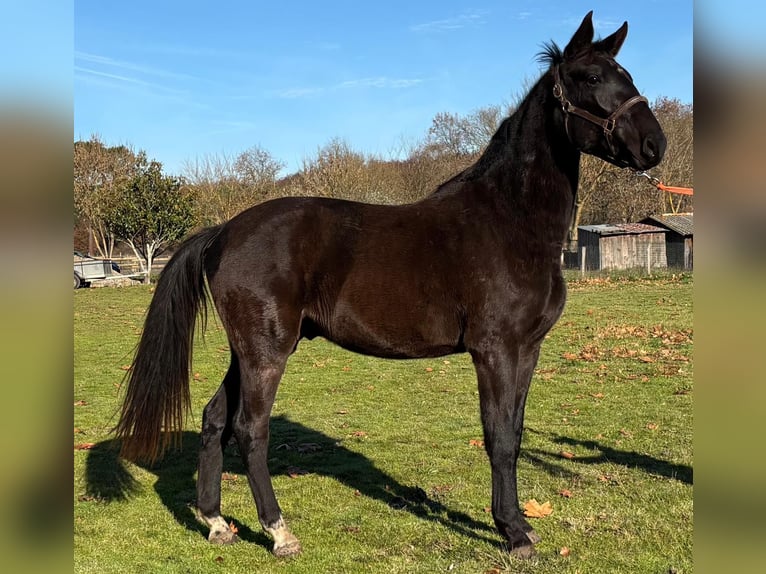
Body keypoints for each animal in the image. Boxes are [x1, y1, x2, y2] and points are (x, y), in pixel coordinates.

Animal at [115, 11, 666, 558]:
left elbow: (515, 430)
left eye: (627, 74)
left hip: (247, 351)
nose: (654, 145)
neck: (510, 219)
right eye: (591, 77)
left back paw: (215, 522)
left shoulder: (527, 349)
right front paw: (512, 531)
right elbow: (499, 438)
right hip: (265, 352)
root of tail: (224, 231)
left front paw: (519, 525)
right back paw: (278, 531)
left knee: (215, 420)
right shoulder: (495, 351)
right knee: (250, 430)